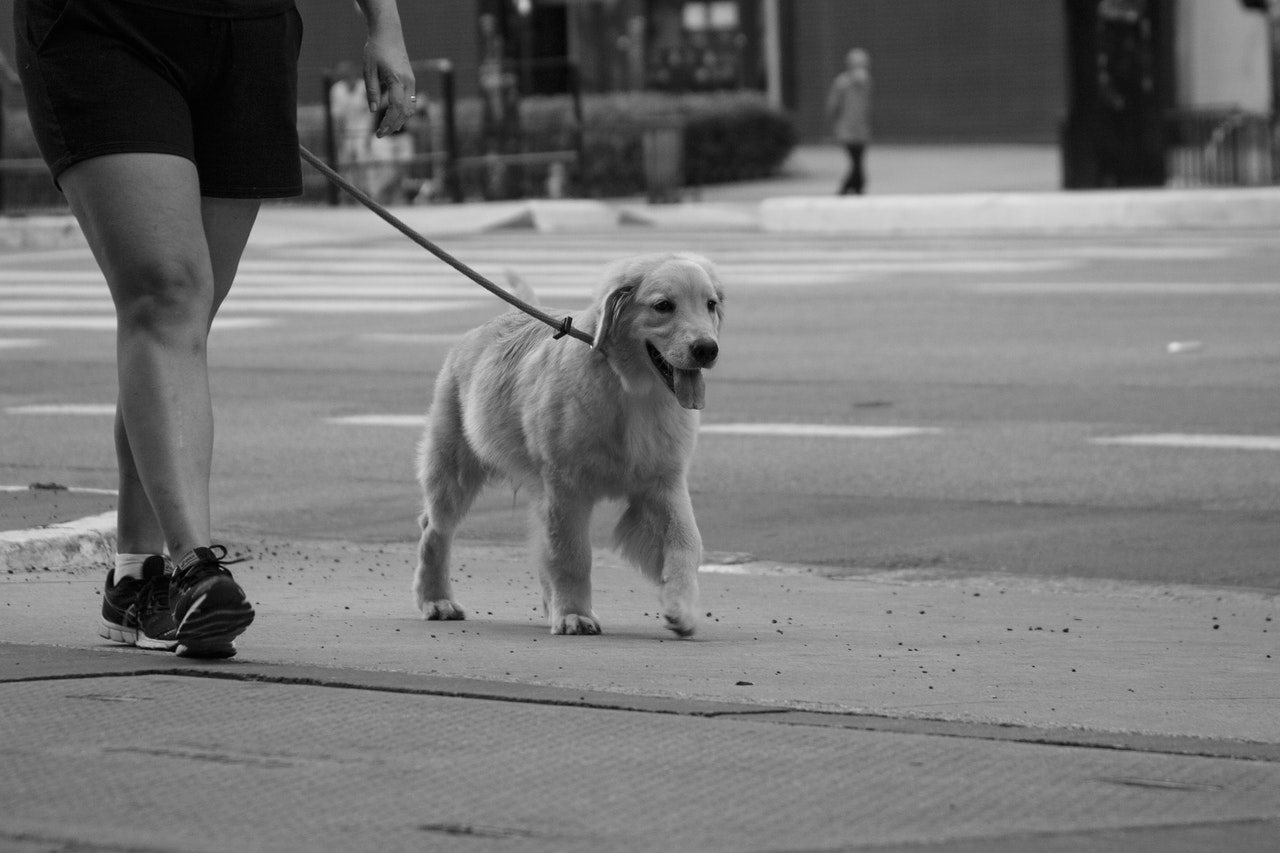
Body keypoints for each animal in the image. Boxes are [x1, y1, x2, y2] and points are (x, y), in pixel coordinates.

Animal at [414, 251, 727, 630]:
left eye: (710, 305)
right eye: (663, 306)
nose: (707, 349)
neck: (630, 391)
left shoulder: (663, 483)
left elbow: (686, 541)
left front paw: (681, 605)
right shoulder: (565, 488)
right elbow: (572, 555)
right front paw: (575, 614)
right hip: (454, 468)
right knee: (434, 531)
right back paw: (436, 600)